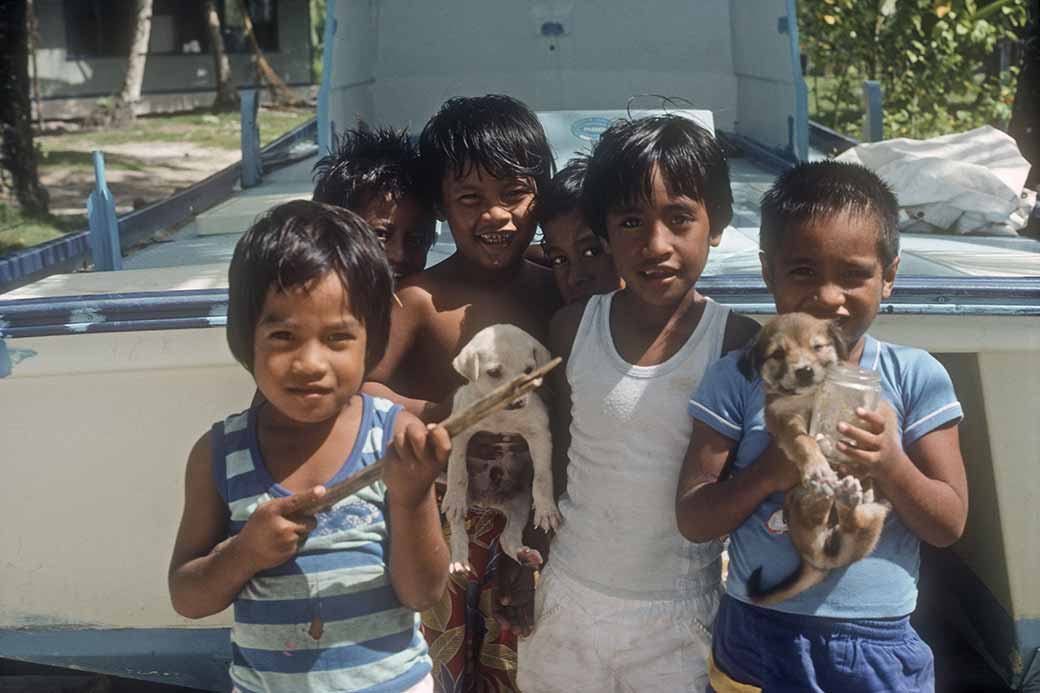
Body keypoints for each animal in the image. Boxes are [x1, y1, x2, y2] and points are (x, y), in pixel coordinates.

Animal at [438, 324, 561, 570]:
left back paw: (524, 555)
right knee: (457, 527)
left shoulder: (539, 434)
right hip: (467, 507)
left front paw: (546, 509)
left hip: (520, 505)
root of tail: (487, 503)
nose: (519, 402)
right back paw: (459, 559)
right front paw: (454, 495)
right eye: (494, 373)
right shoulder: (460, 433)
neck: (500, 414)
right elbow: (457, 471)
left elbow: (542, 477)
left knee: (507, 538)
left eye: (529, 370)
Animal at [736, 312, 890, 603]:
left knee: (854, 523)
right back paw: (829, 492)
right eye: (778, 354)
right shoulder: (783, 420)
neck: (808, 398)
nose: (804, 371)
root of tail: (818, 564)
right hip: (798, 507)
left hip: (875, 515)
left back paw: (847, 495)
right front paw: (818, 467)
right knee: (821, 517)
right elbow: (804, 441)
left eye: (817, 347)